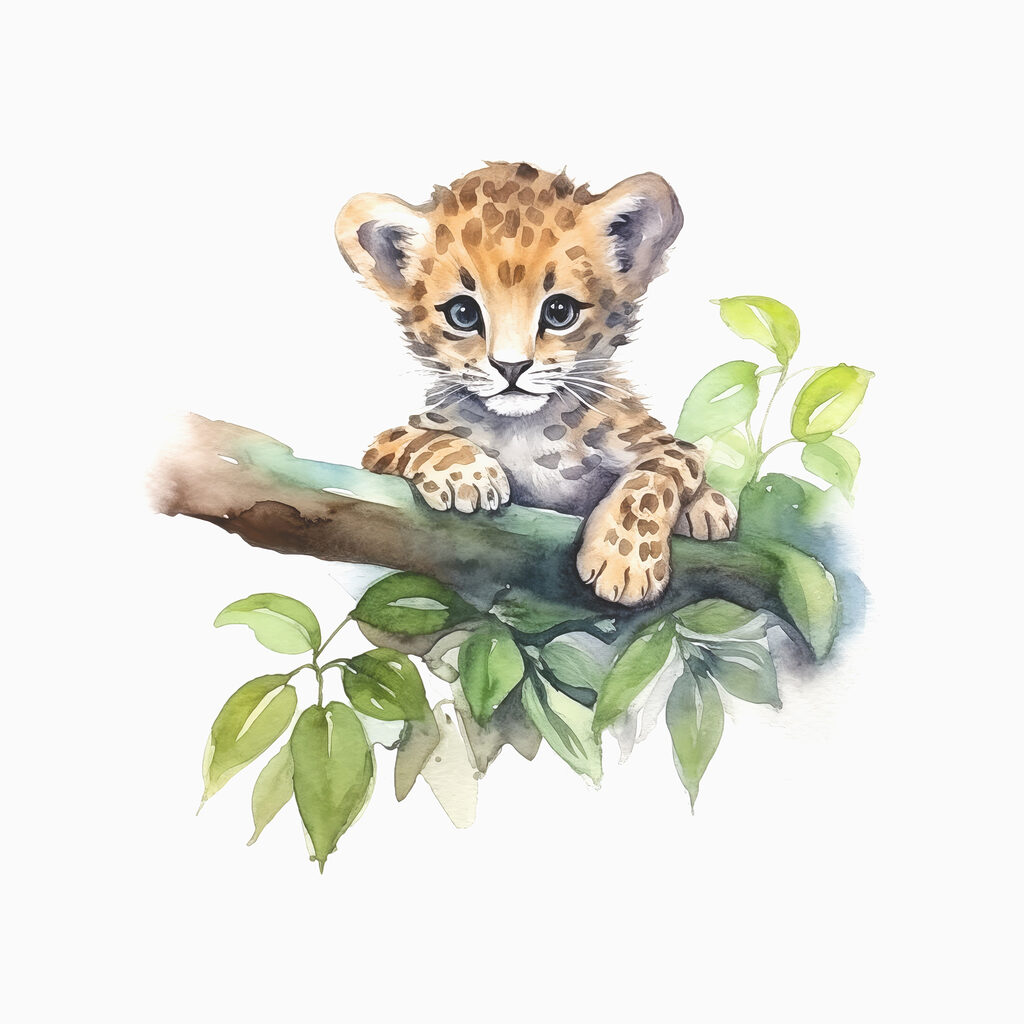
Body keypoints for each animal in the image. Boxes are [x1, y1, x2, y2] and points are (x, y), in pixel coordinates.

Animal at [335, 161, 735, 607]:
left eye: (560, 311)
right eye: (462, 313)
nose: (511, 367)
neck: (528, 428)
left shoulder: (661, 444)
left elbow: (656, 476)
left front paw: (625, 561)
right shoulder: (386, 444)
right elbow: (420, 439)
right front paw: (469, 475)